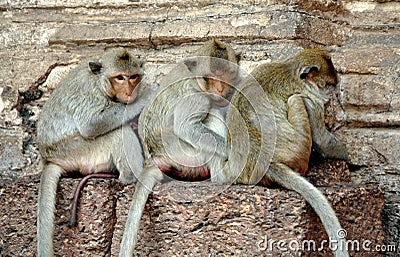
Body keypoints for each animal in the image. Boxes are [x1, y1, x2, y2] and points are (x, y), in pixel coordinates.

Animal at [36, 48, 156, 256]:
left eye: (132, 77)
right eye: (120, 77)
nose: (130, 91)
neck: (99, 81)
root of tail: (49, 159)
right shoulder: (90, 93)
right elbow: (91, 124)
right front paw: (146, 96)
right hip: (77, 151)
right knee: (117, 132)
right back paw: (131, 177)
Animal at [117, 39, 242, 255]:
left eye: (227, 76)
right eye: (210, 77)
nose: (219, 90)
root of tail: (153, 158)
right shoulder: (197, 98)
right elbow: (187, 127)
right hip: (188, 156)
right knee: (211, 115)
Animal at [217, 48, 348, 256]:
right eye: (327, 84)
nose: (330, 95)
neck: (290, 69)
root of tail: (264, 163)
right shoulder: (311, 97)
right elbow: (322, 140)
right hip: (299, 149)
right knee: (295, 100)